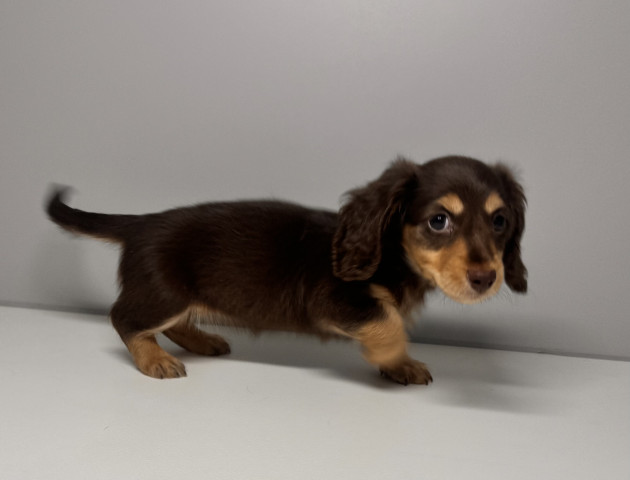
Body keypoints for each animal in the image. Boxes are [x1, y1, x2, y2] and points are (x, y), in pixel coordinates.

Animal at [45, 156, 527, 384]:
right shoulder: (334, 300)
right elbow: (388, 322)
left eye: (500, 221)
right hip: (163, 292)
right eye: (438, 221)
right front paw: (391, 356)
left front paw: (399, 366)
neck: (391, 254)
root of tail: (141, 222)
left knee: (175, 323)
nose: (486, 278)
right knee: (125, 318)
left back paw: (203, 341)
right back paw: (155, 360)